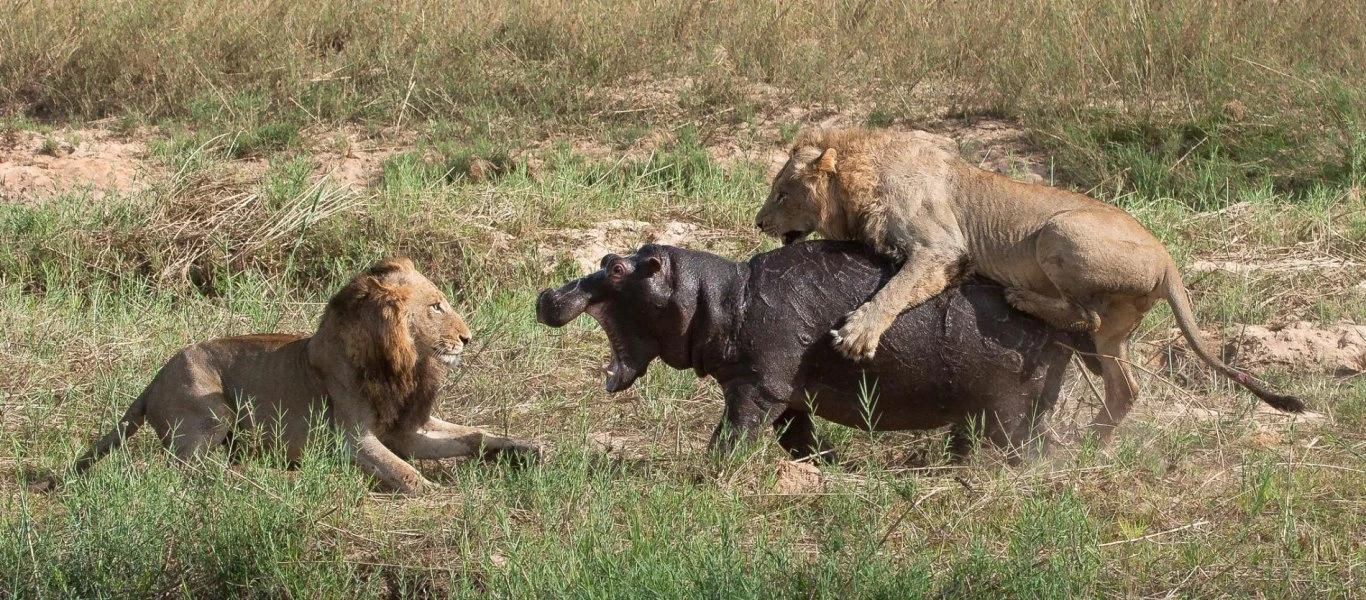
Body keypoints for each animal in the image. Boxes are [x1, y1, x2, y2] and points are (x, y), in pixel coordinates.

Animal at [38, 255, 538, 494]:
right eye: (436, 306)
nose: (468, 338)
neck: (405, 365)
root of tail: (151, 382)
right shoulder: (352, 438)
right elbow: (407, 473)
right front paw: (439, 494)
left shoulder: (407, 428)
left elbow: (472, 434)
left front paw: (522, 448)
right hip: (211, 406)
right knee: (187, 469)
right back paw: (264, 477)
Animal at [535, 241, 1098, 461]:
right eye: (608, 257)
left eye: (616, 269)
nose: (547, 295)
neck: (722, 298)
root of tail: (1071, 323)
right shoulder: (782, 393)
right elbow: (798, 439)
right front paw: (828, 464)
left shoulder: (757, 387)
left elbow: (731, 435)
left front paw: (704, 476)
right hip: (988, 407)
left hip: (1007, 408)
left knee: (1018, 447)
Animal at [754, 127, 1305, 442]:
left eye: (782, 192)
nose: (759, 222)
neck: (860, 174)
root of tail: (1169, 259)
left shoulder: (941, 248)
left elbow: (895, 290)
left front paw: (858, 334)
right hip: (1112, 333)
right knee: (1123, 386)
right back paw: (1089, 444)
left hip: (1058, 231)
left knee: (1085, 313)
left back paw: (1022, 298)